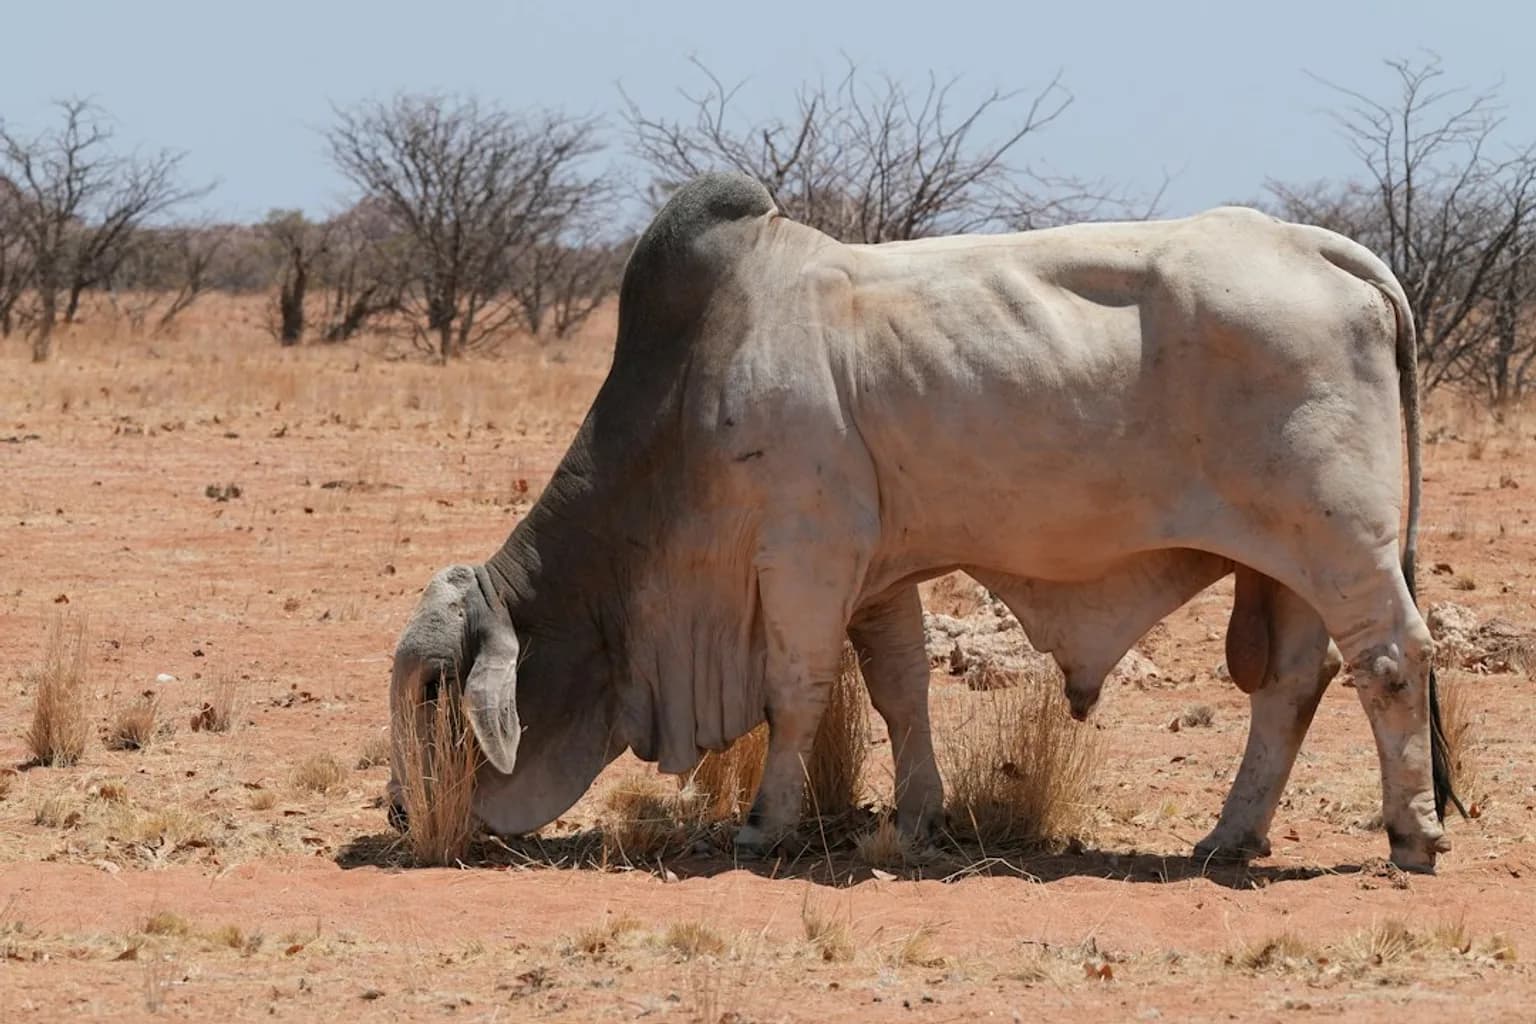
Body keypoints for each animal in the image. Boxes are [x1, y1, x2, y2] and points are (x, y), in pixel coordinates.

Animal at [387, 171, 1459, 873]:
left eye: (436, 689)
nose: (402, 814)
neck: (684, 404)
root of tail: (1319, 245)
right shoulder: (881, 576)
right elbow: (901, 689)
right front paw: (918, 819)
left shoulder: (806, 557)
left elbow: (797, 691)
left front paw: (764, 824)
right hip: (1288, 562)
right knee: (1291, 685)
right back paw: (1231, 836)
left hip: (1343, 545)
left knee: (1391, 658)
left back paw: (1411, 834)